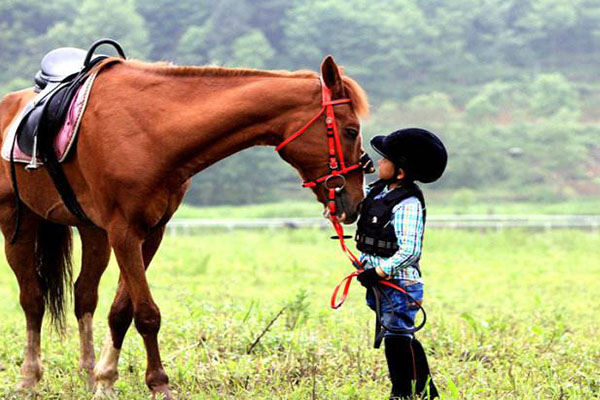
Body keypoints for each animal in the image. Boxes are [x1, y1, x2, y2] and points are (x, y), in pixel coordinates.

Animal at [0, 55, 368, 396]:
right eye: (350, 130)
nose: (356, 201)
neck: (151, 128)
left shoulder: (150, 233)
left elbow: (121, 310)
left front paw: (106, 380)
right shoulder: (124, 232)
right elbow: (146, 314)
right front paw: (158, 384)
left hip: (93, 232)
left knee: (84, 297)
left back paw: (88, 373)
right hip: (17, 222)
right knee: (33, 299)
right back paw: (28, 378)